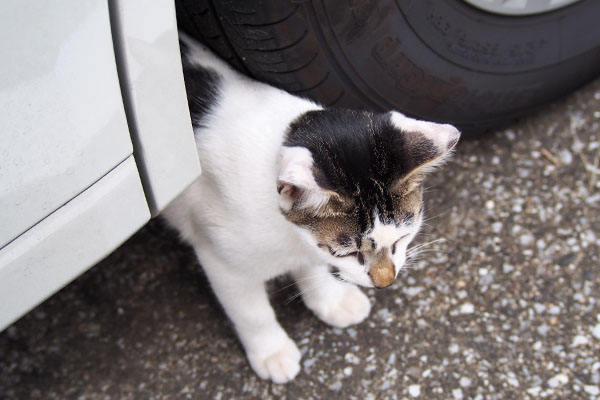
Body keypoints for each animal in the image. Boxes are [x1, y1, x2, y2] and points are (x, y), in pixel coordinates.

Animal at [163, 32, 460, 382]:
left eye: (402, 238)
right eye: (349, 253)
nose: (386, 281)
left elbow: (312, 265)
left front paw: (330, 300)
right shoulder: (220, 258)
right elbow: (251, 312)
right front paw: (272, 351)